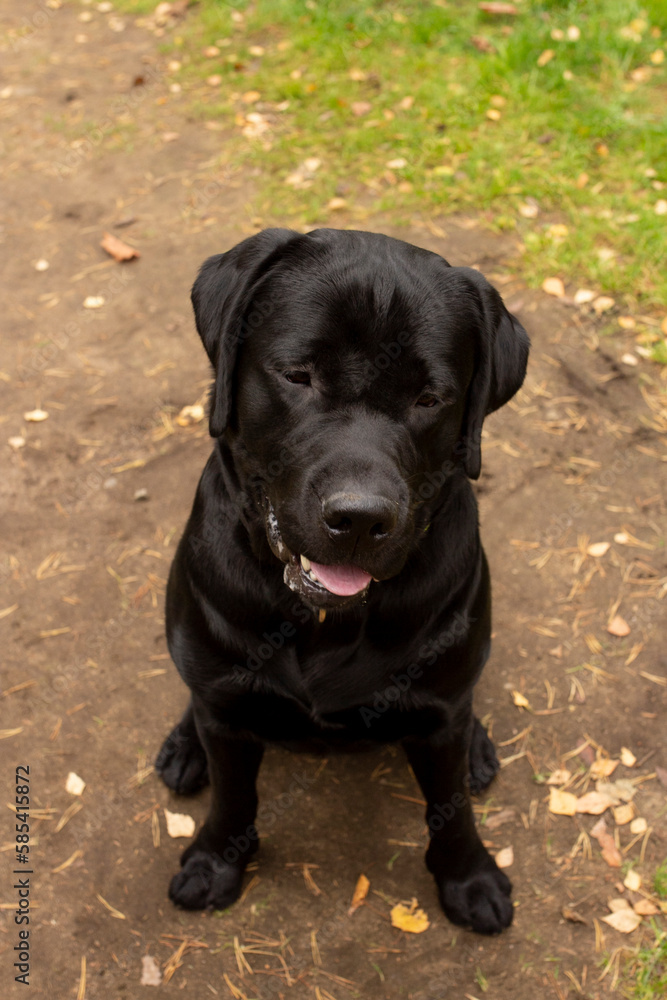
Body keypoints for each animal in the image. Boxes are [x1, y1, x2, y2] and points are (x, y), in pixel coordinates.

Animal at [157, 230, 528, 932]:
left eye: (429, 398)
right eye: (298, 375)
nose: (359, 518)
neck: (325, 620)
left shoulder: (439, 718)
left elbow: (451, 809)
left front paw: (470, 878)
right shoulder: (228, 715)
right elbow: (233, 796)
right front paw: (215, 862)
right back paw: (183, 744)